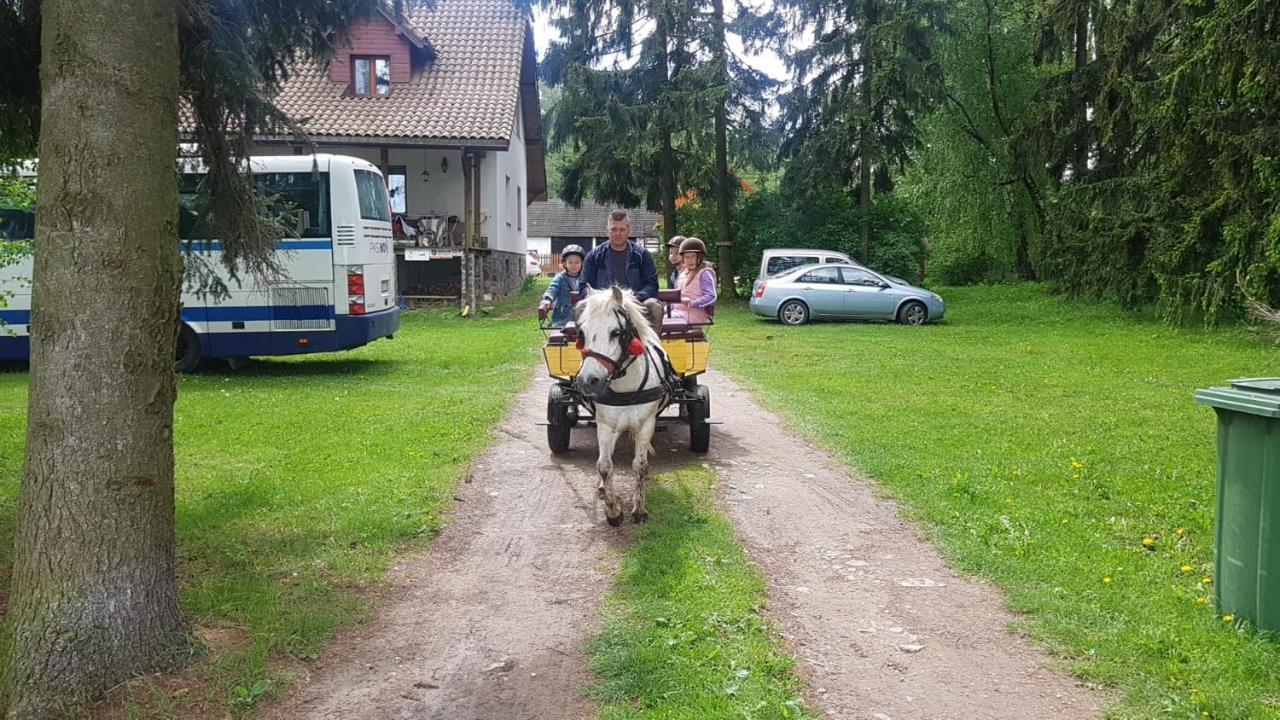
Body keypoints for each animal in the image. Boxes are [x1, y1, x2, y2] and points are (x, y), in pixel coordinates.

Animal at [576, 283, 675, 525]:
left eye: (616, 332)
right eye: (582, 333)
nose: (588, 381)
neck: (627, 390)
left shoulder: (646, 425)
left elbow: (639, 466)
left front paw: (639, 509)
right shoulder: (605, 425)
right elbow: (604, 466)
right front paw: (613, 512)